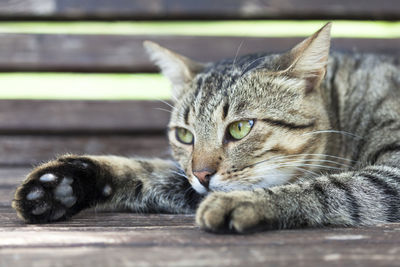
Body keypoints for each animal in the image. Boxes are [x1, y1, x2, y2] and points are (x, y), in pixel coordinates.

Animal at [11, 23, 400, 234]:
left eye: (240, 128)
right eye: (185, 135)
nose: (202, 174)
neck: (343, 107)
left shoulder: (391, 177)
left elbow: (331, 187)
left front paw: (244, 202)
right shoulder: (186, 182)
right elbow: (146, 172)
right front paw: (62, 184)